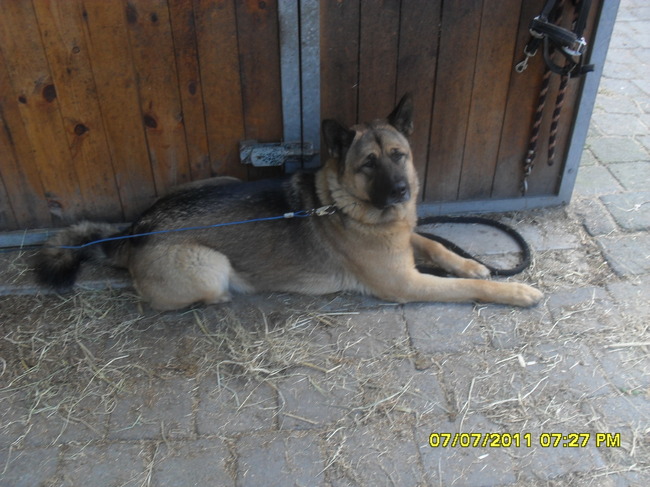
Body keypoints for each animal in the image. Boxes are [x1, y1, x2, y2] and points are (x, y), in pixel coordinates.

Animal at [34, 95, 543, 311]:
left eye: (399, 155)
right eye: (368, 164)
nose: (401, 192)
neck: (343, 202)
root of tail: (137, 227)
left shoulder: (405, 241)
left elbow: (435, 245)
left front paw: (472, 262)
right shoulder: (406, 283)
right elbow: (464, 286)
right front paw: (512, 291)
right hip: (210, 267)